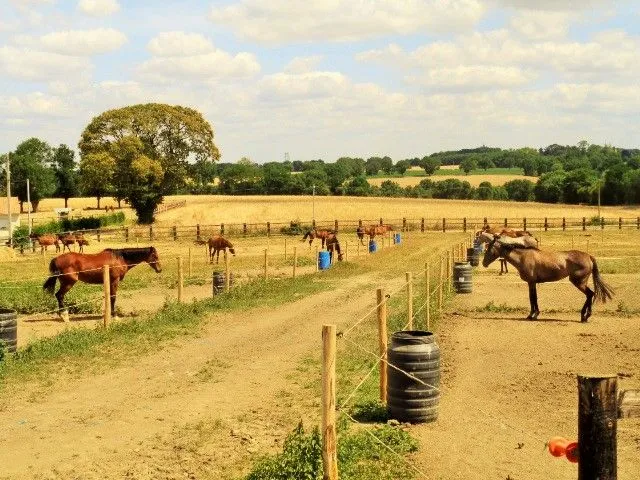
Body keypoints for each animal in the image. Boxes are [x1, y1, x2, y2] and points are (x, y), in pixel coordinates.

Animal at [481, 233, 613, 322]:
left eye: (489, 249)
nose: (483, 263)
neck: (523, 257)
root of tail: (589, 256)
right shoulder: (532, 283)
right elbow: (534, 298)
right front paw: (534, 314)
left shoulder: (531, 282)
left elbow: (532, 298)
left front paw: (532, 315)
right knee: (590, 295)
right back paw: (584, 316)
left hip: (578, 282)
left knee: (590, 294)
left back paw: (584, 316)